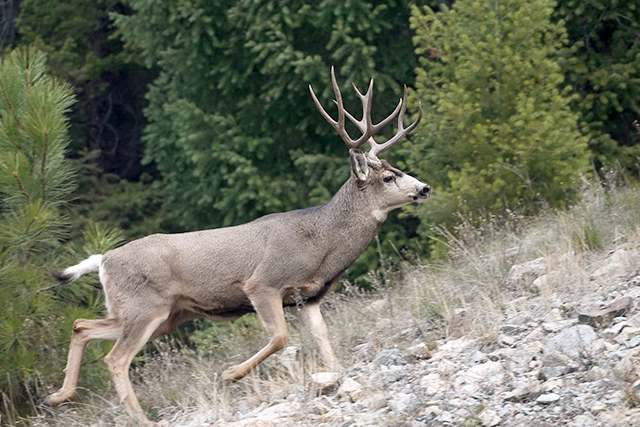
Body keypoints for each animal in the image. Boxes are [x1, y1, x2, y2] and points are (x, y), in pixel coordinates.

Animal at [43, 67, 430, 426]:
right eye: (388, 176)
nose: (424, 188)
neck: (320, 242)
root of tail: (104, 258)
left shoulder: (308, 297)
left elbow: (324, 340)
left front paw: (337, 375)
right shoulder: (263, 283)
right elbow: (280, 336)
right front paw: (230, 374)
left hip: (158, 314)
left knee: (81, 325)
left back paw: (58, 395)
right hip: (145, 307)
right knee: (115, 358)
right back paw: (139, 418)